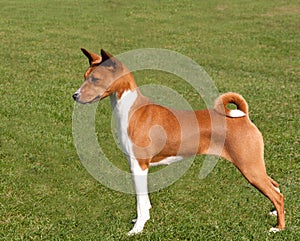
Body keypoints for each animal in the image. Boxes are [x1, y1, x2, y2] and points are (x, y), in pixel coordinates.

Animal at [73, 48, 286, 234]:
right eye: (84, 76)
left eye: (95, 79)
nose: (75, 95)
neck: (131, 110)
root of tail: (244, 117)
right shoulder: (135, 165)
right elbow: (145, 202)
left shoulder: (139, 165)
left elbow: (140, 203)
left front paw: (137, 229)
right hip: (254, 166)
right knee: (275, 185)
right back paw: (274, 213)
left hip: (250, 167)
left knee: (278, 195)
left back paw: (279, 227)